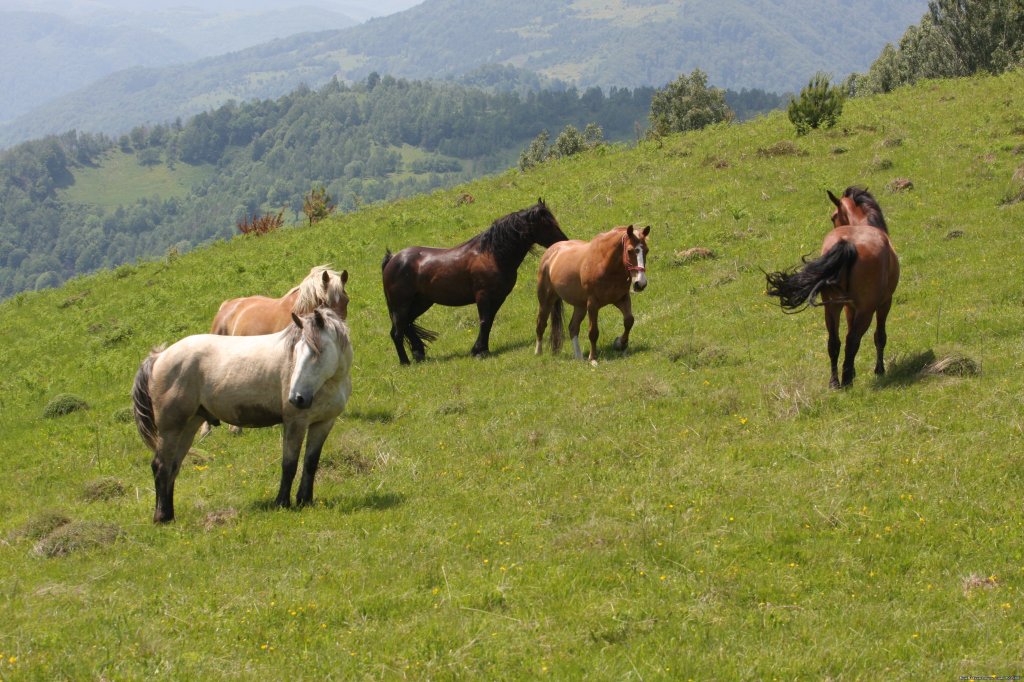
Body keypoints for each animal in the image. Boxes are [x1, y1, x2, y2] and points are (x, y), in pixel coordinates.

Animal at [380, 197, 569, 364]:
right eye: (547, 224)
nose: (565, 242)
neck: (492, 255)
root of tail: (393, 258)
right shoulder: (483, 296)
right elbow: (484, 321)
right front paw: (479, 352)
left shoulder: (498, 297)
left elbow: (489, 321)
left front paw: (481, 349)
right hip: (401, 305)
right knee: (396, 332)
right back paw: (405, 362)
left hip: (421, 303)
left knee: (406, 325)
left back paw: (418, 352)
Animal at [532, 223, 651, 360]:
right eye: (630, 251)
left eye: (646, 250)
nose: (640, 283)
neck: (606, 266)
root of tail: (550, 252)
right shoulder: (593, 304)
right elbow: (593, 332)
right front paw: (593, 357)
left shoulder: (622, 299)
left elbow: (629, 321)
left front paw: (620, 344)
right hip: (546, 300)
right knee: (541, 324)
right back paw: (538, 352)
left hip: (580, 306)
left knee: (573, 327)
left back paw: (579, 357)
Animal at [765, 184, 901, 387]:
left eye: (832, 217)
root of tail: (847, 244)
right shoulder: (885, 303)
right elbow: (879, 336)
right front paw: (879, 370)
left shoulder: (849, 307)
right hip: (866, 309)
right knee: (852, 340)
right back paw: (846, 381)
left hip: (832, 307)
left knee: (834, 342)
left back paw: (835, 382)